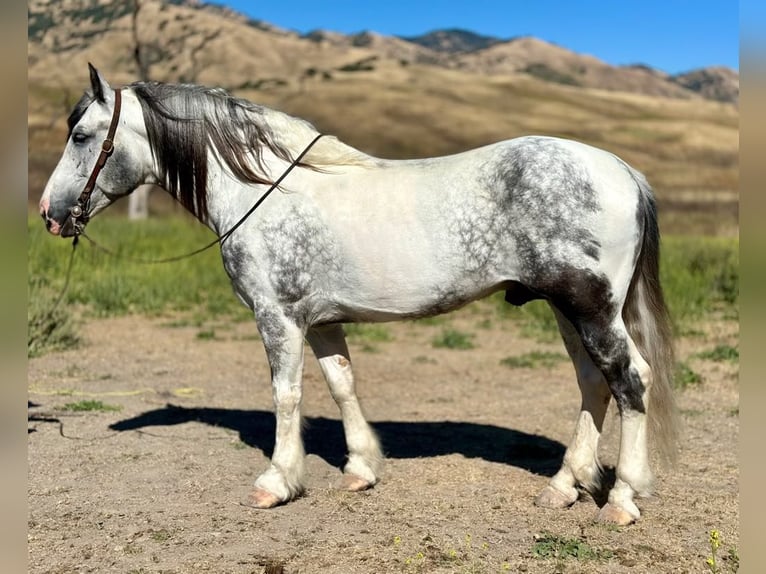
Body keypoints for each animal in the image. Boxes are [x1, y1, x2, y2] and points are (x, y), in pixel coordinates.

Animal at [40, 64, 678, 525]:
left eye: (81, 135)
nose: (50, 214)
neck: (262, 187)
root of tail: (622, 170)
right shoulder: (320, 321)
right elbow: (342, 384)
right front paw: (360, 469)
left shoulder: (278, 318)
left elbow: (288, 395)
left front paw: (276, 483)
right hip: (568, 311)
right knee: (594, 384)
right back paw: (563, 487)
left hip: (590, 309)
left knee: (631, 381)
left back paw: (622, 500)